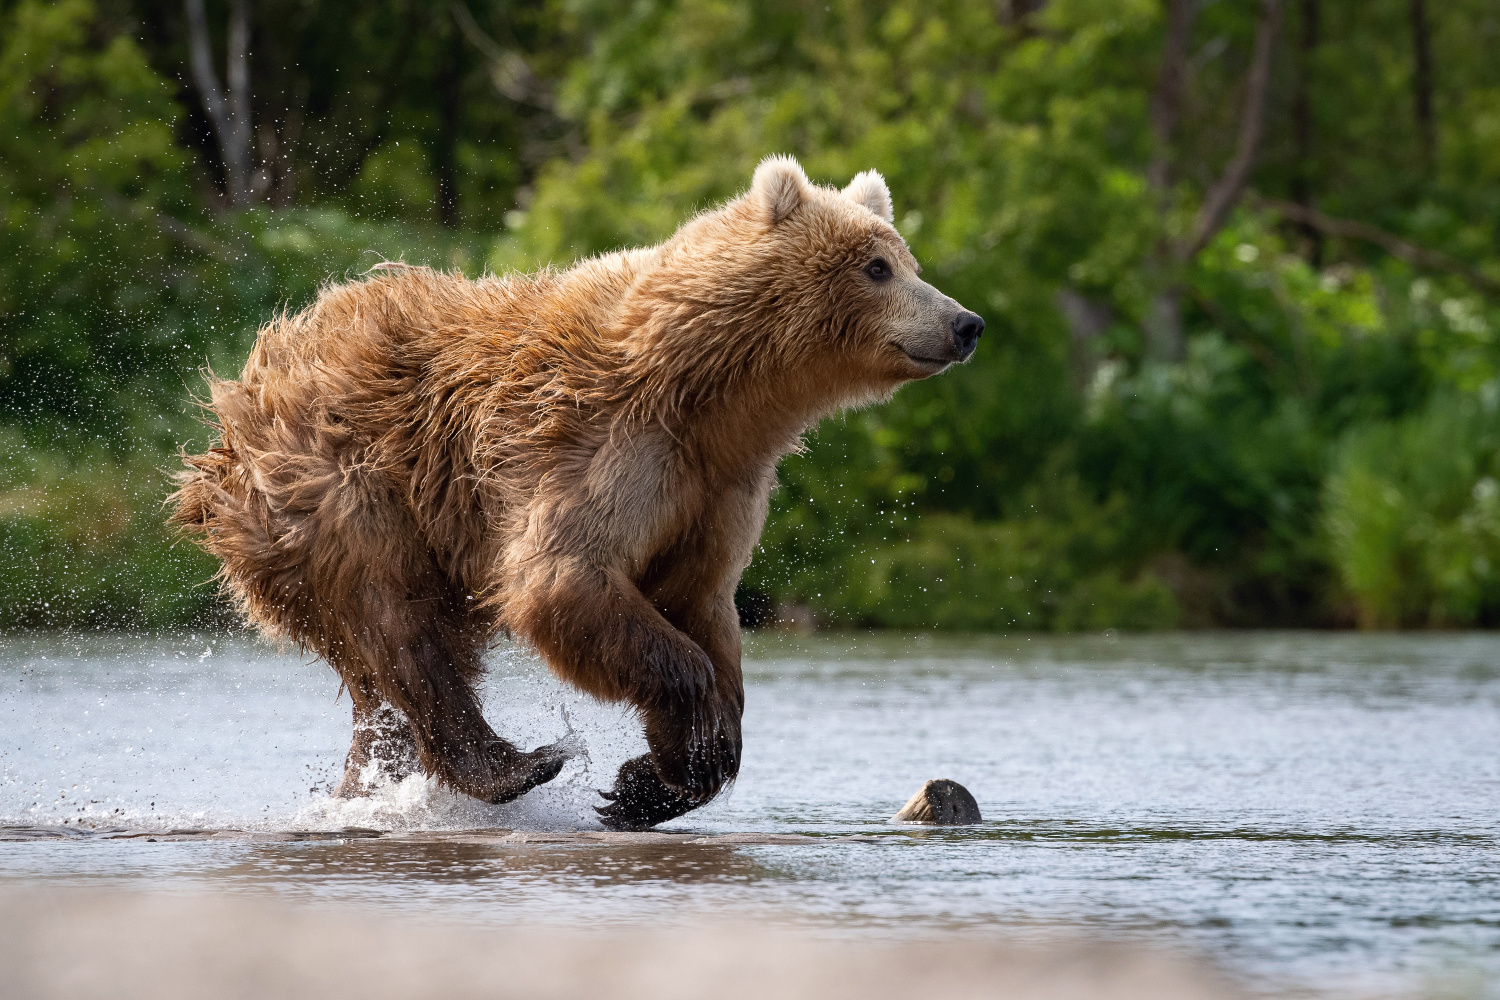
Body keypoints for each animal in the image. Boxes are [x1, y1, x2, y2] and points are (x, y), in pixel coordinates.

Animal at [170, 156, 984, 827]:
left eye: (904, 259)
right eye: (877, 266)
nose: (965, 321)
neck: (711, 397)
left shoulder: (716, 491)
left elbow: (703, 604)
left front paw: (655, 780)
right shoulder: (599, 445)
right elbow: (562, 581)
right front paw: (686, 742)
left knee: (383, 674)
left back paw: (372, 783)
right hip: (340, 488)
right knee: (397, 619)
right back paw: (516, 764)